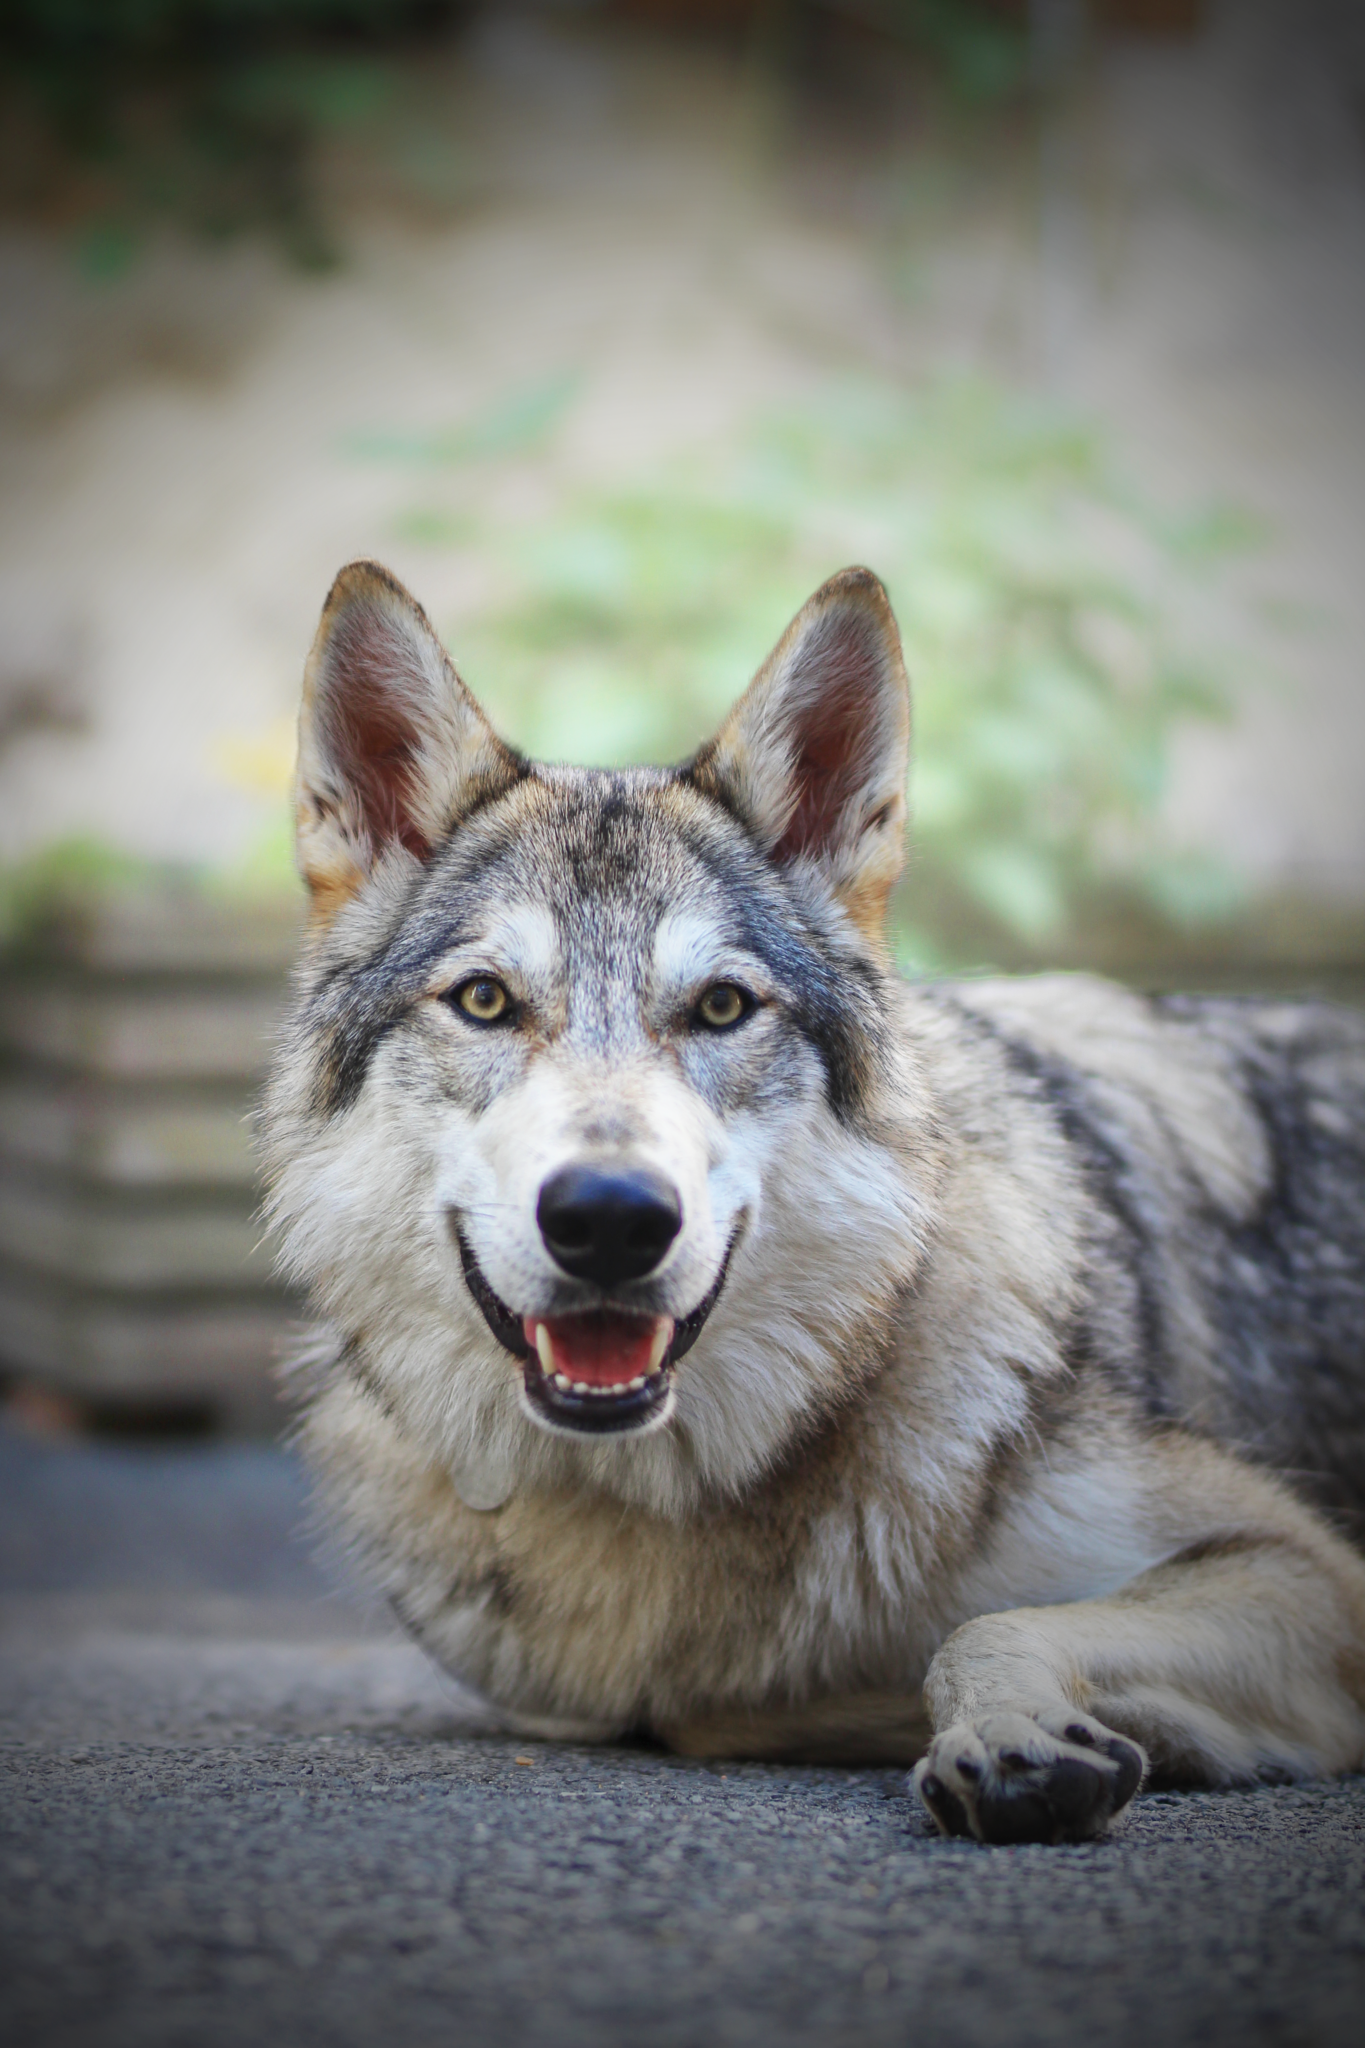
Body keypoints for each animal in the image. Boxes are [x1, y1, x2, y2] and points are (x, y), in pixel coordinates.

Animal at [259, 558, 1365, 1845]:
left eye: (722, 1007)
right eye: (485, 1000)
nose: (612, 1218)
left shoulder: (1304, 1571)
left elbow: (976, 1627)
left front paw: (1008, 1734)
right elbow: (712, 1703)